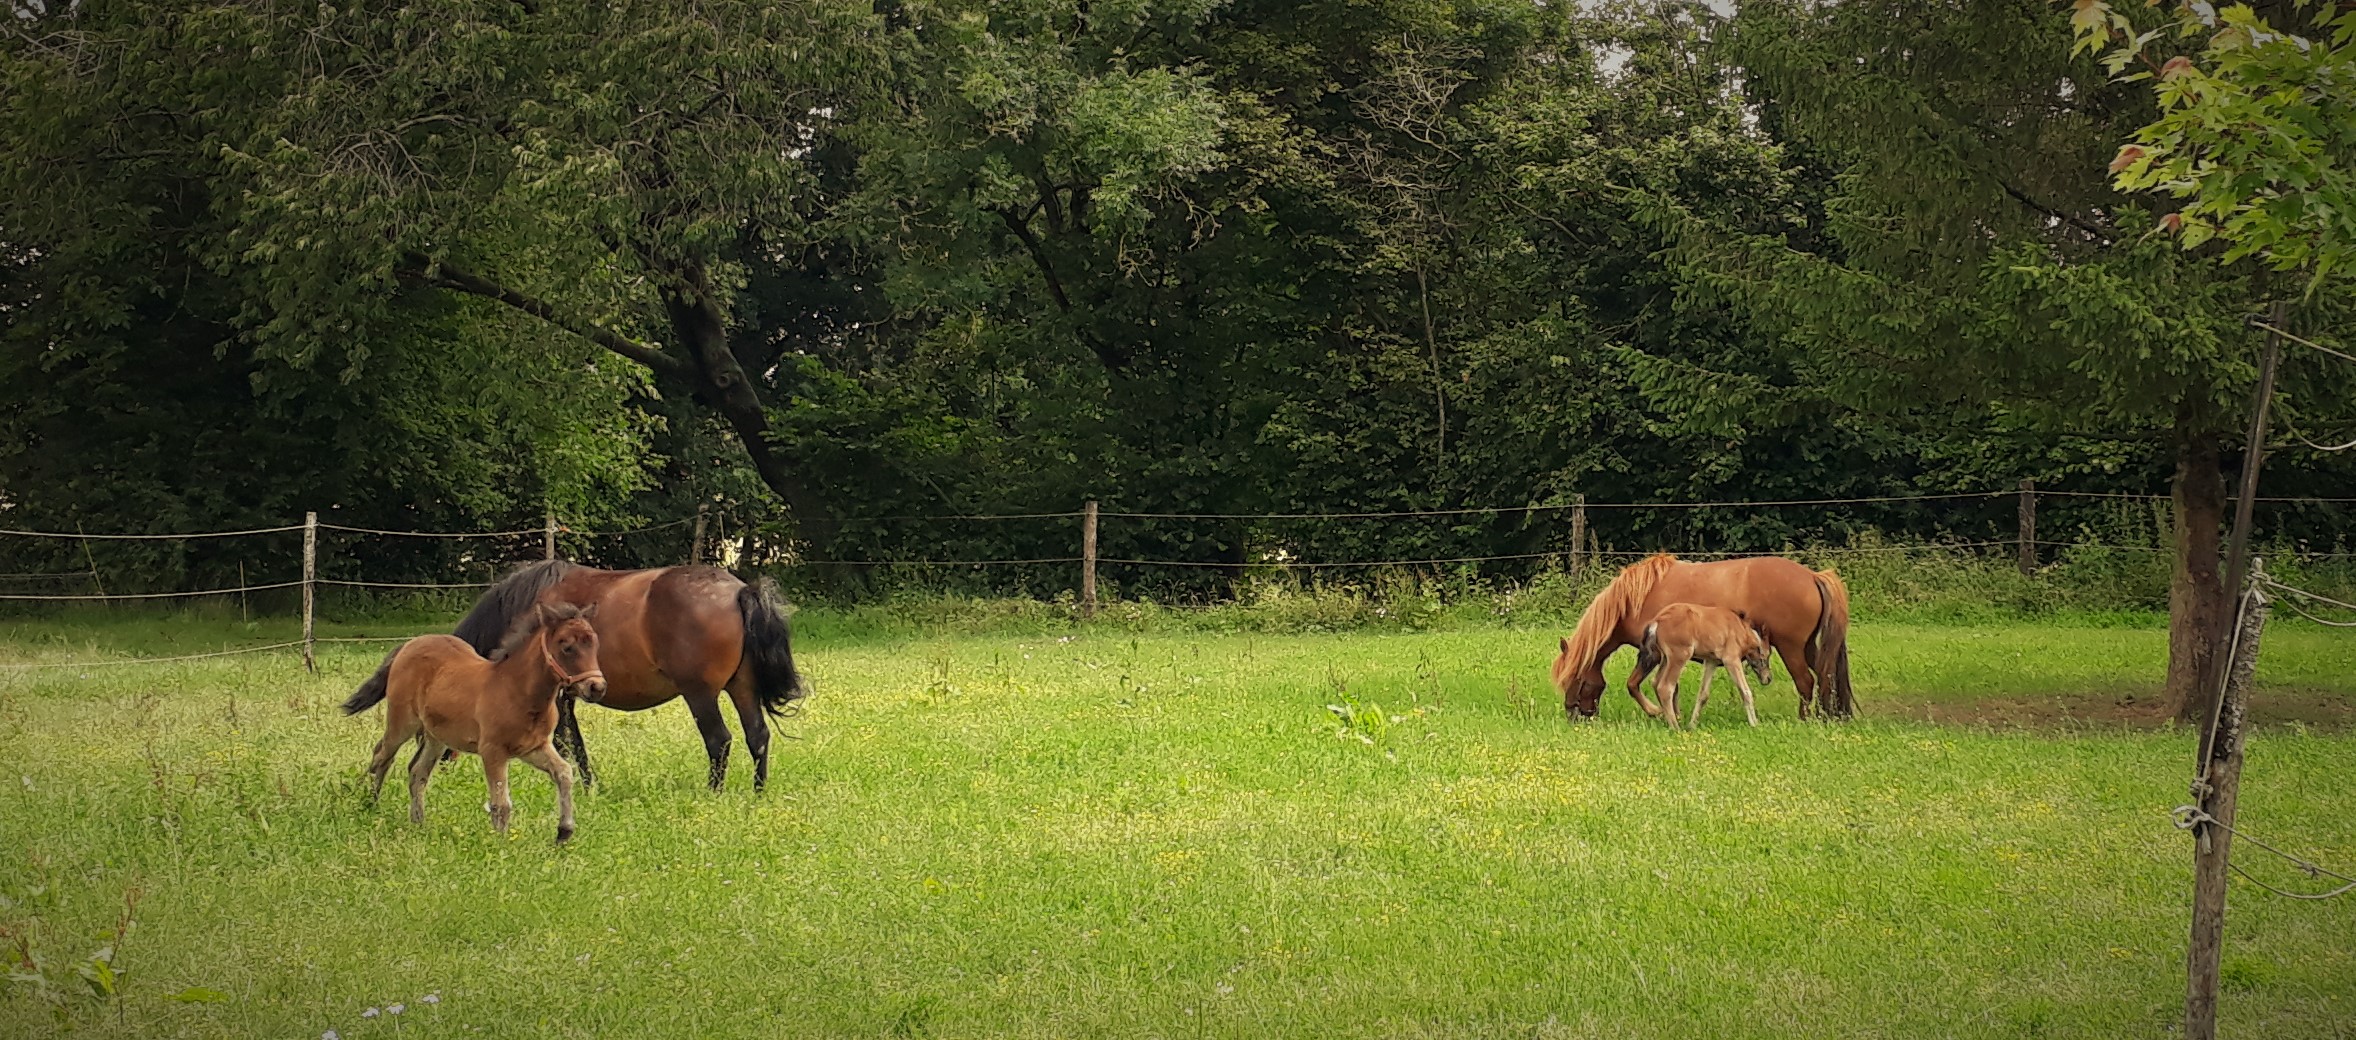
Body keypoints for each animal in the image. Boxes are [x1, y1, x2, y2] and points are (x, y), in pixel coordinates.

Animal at [346, 599, 612, 844]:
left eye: (595, 644)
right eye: (567, 647)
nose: (597, 687)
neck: (517, 690)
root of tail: (408, 645)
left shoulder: (533, 747)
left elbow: (564, 772)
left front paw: (564, 832)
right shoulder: (492, 751)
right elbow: (501, 803)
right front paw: (501, 844)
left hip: (436, 736)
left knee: (417, 771)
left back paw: (419, 822)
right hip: (402, 722)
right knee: (382, 755)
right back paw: (369, 805)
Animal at [449, 563, 810, 792]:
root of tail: (740, 591)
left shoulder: (559, 696)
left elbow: (567, 742)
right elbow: (572, 742)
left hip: (700, 694)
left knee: (719, 741)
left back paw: (714, 793)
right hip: (743, 688)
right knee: (757, 736)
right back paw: (758, 792)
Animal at [1554, 554, 1847, 716]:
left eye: (1575, 679)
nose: (1573, 714)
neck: (1635, 598)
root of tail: (1812, 575)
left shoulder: (1652, 652)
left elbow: (1636, 686)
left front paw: (1657, 712)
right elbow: (1669, 688)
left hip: (1791, 648)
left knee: (1806, 682)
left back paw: (1805, 719)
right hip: (1808, 647)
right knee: (1826, 676)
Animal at [1630, 599, 1771, 731]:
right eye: (1766, 655)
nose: (1768, 678)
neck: (1741, 630)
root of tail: (1657, 620)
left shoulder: (1711, 661)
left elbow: (1703, 694)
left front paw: (1692, 725)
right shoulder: (1731, 659)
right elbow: (1745, 691)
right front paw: (1755, 724)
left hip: (1665, 658)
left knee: (1655, 682)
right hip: (1680, 655)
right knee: (1665, 687)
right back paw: (1675, 727)